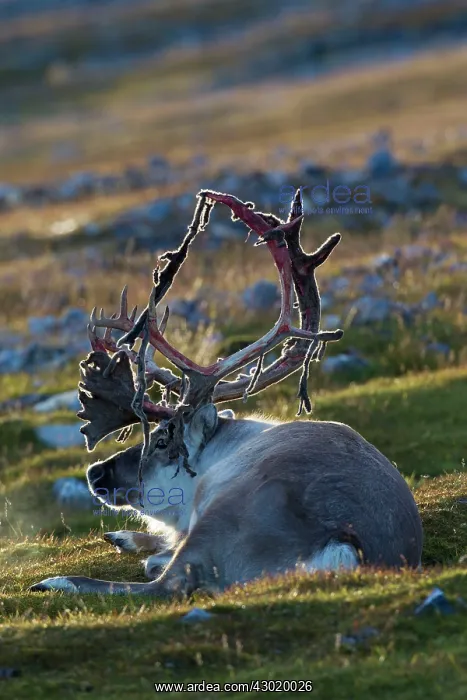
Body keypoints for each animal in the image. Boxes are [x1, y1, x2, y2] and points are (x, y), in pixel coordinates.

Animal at [30, 189, 423, 596]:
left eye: (161, 440)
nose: (95, 473)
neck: (227, 441)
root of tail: (344, 540)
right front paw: (126, 537)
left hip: (226, 514)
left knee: (166, 582)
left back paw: (59, 581)